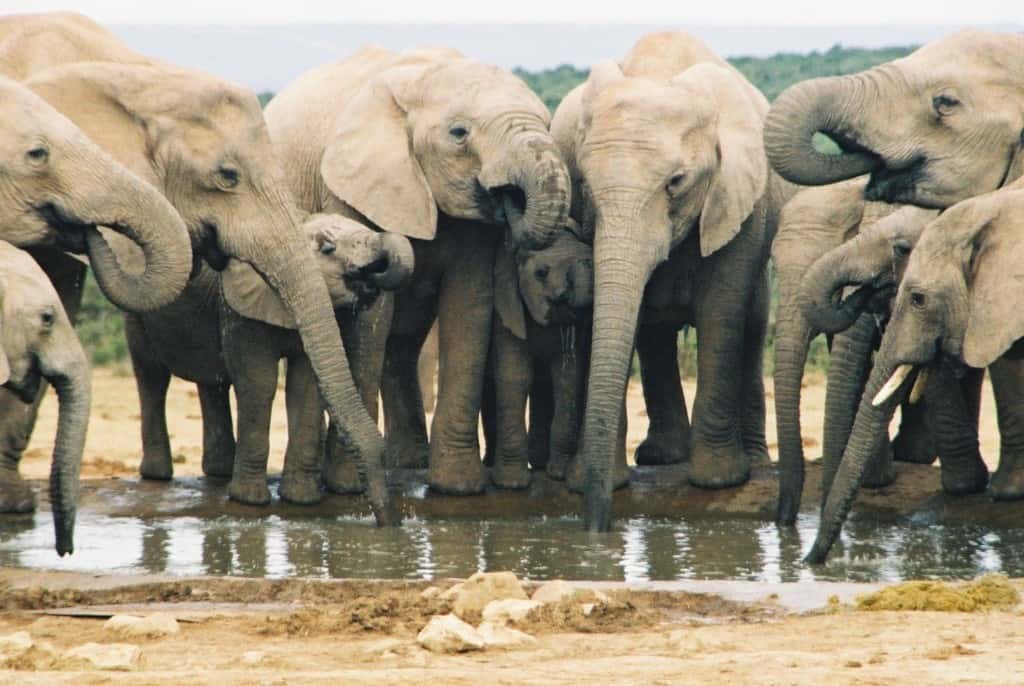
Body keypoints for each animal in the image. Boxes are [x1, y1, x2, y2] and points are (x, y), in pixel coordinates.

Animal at [218, 214, 413, 505]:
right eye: (327, 248)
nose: (375, 273)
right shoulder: (239, 308)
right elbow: (258, 382)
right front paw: (249, 501)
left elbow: (305, 385)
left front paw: (301, 499)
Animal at [263, 46, 571, 495]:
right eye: (459, 133)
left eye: (548, 124)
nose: (508, 197)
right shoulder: (347, 189)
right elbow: (370, 323)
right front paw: (348, 487)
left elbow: (468, 304)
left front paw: (458, 487)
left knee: (403, 344)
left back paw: (409, 463)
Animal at [482, 223, 594, 488]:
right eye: (541, 273)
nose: (586, 260)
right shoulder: (506, 311)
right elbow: (516, 375)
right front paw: (512, 484)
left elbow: (567, 377)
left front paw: (558, 474)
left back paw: (540, 463)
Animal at [550, 32, 794, 530]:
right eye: (583, 183)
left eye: (676, 183)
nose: (596, 528)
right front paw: (594, 481)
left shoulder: (737, 198)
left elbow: (722, 309)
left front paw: (718, 481)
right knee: (655, 335)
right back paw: (662, 458)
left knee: (751, 324)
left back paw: (754, 463)